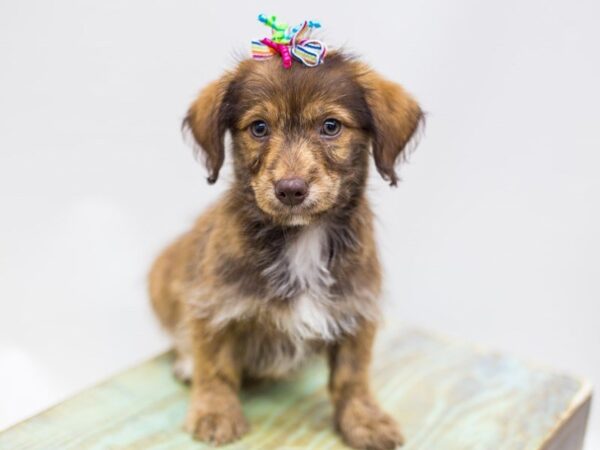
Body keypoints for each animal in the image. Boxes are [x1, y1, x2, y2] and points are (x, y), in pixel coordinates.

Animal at [149, 53, 422, 450]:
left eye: (330, 126)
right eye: (259, 128)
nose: (290, 189)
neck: (301, 238)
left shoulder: (356, 308)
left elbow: (352, 376)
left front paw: (365, 419)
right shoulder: (212, 302)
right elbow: (214, 365)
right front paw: (215, 412)